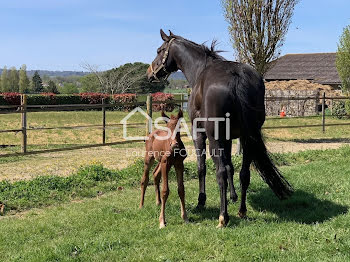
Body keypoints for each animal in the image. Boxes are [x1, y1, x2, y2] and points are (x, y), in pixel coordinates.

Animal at [146, 30, 294, 227]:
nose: (149, 73)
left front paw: (201, 201)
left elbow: (203, 167)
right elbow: (231, 166)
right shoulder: (229, 137)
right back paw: (241, 210)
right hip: (248, 138)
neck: (200, 69)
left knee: (220, 172)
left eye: (159, 50)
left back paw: (223, 217)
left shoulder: (200, 134)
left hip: (215, 138)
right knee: (244, 173)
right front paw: (233, 196)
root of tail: (237, 77)